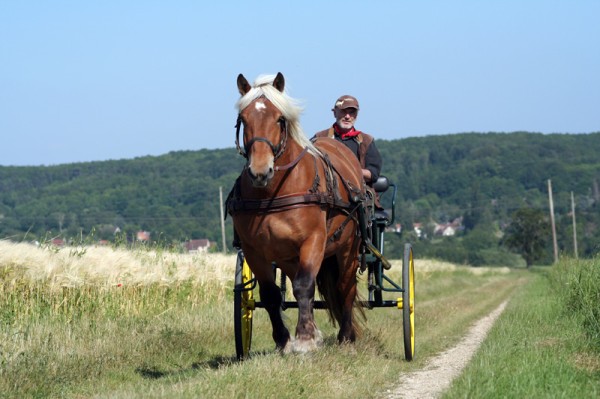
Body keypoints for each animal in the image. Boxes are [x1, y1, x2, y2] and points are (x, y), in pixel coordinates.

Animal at [225, 72, 366, 354]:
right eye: (243, 119)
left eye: (280, 119)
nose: (260, 171)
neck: (271, 194)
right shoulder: (254, 250)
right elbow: (271, 294)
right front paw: (284, 340)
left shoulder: (313, 241)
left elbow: (304, 287)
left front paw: (305, 339)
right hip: (290, 256)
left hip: (348, 248)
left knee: (346, 288)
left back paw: (346, 337)